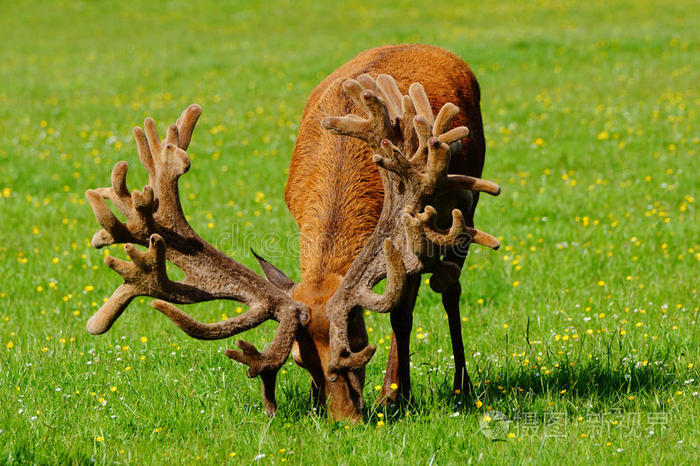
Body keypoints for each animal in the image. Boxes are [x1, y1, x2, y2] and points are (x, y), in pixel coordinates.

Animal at [85, 43, 500, 420]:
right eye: (300, 359)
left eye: (358, 344)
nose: (345, 420)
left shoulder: (412, 230)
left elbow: (401, 311)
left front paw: (395, 396)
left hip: (466, 200)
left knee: (448, 289)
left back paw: (460, 385)